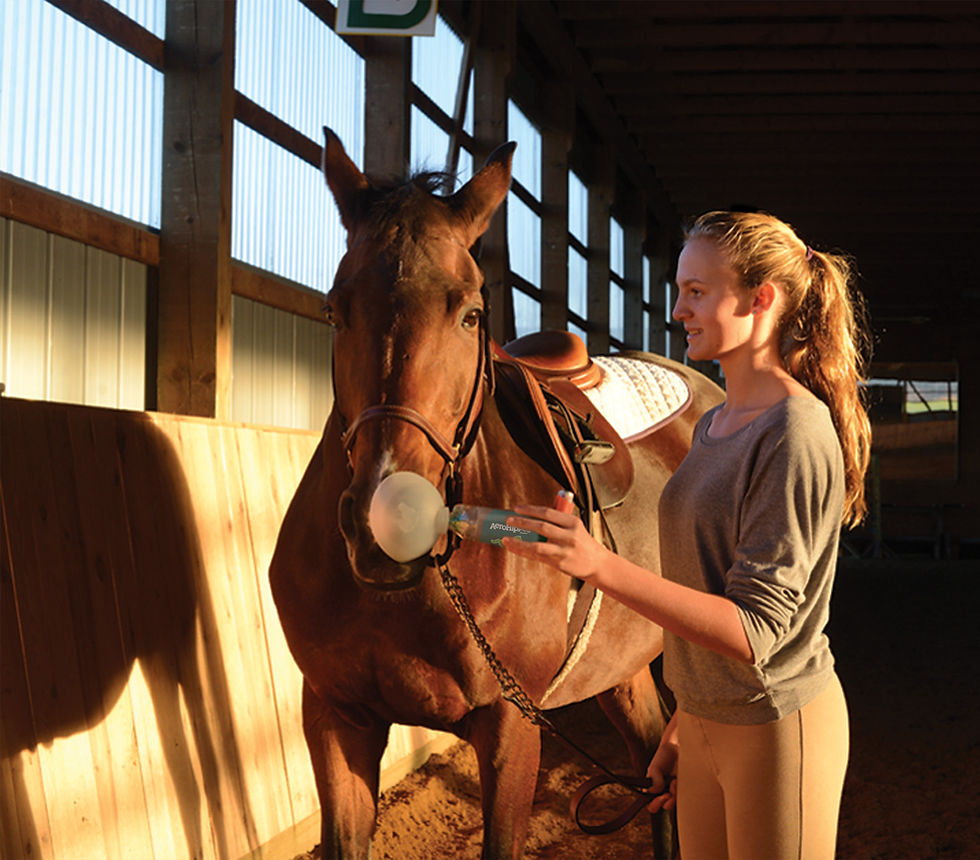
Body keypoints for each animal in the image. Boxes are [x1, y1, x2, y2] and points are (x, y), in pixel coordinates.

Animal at [269, 128, 724, 859]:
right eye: (334, 310)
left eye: (471, 313)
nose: (386, 524)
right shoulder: (337, 719)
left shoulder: (512, 726)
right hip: (622, 670)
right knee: (655, 770)